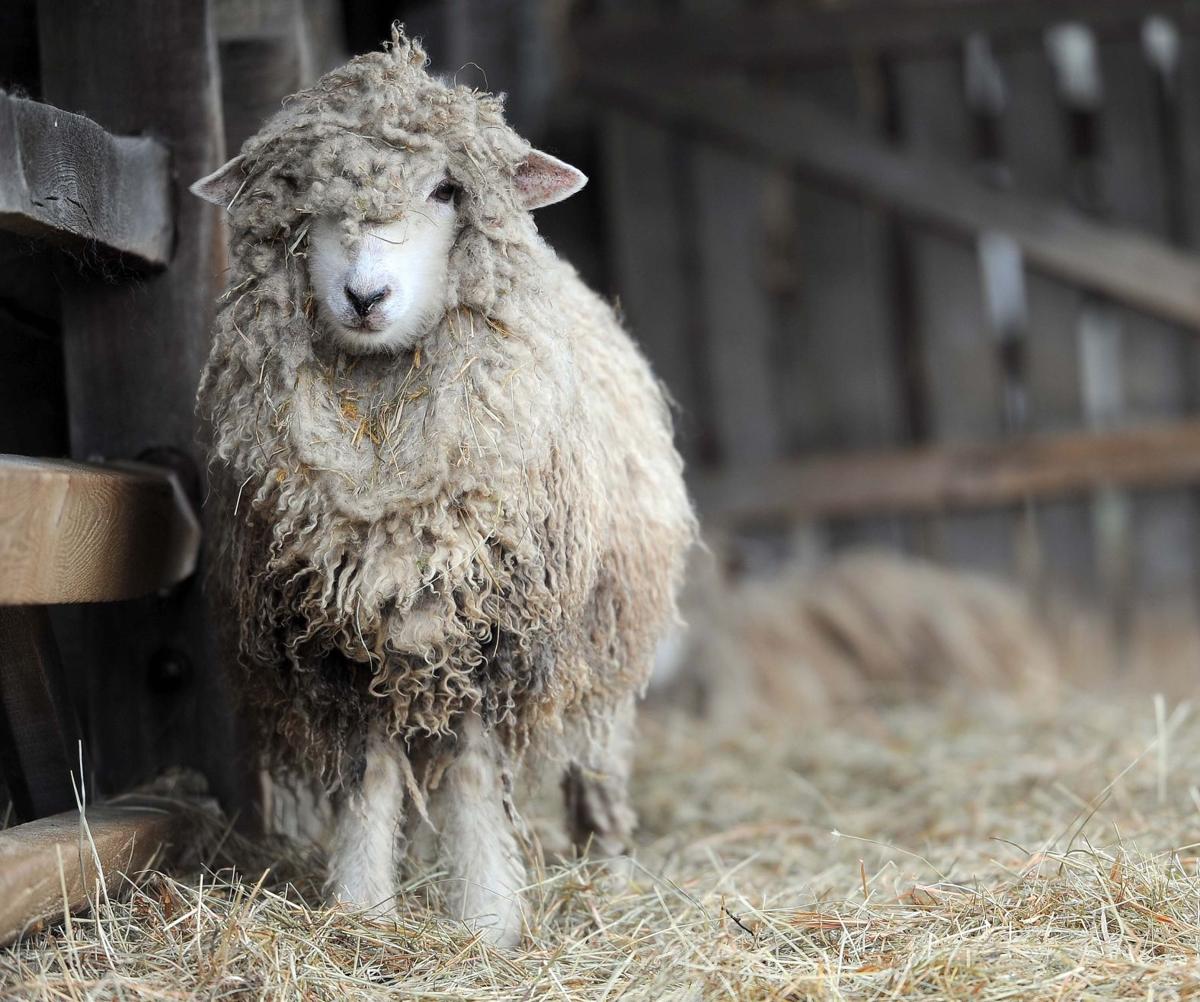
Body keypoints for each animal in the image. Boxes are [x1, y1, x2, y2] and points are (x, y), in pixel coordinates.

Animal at [190, 27, 695, 947]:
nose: (365, 295)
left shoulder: (496, 631)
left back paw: (610, 877)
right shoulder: (335, 643)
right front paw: (360, 910)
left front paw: (488, 919)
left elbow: (470, 777)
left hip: (603, 638)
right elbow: (369, 781)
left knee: (595, 767)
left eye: (445, 190)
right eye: (300, 197)